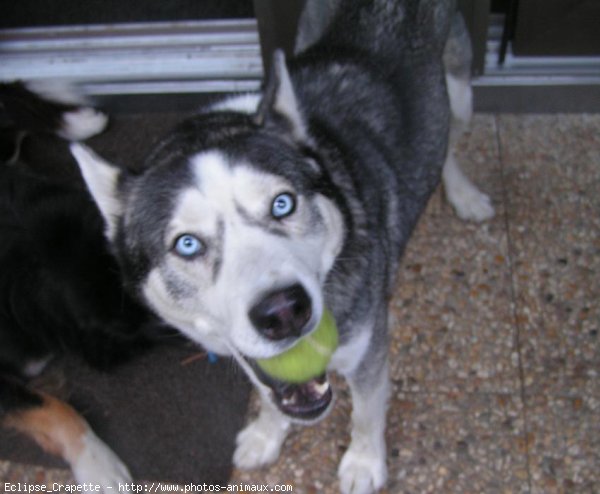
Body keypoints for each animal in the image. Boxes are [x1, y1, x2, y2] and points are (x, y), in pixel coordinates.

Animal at [70, 1, 492, 492]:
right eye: (187, 244)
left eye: (282, 203)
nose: (283, 311)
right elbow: (270, 393)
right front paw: (266, 434)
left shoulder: (367, 348)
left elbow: (367, 410)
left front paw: (364, 462)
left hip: (459, 92)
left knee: (450, 142)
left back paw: (463, 193)